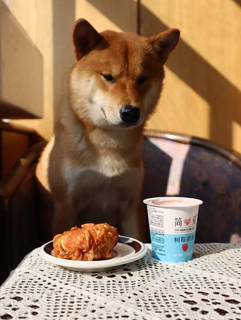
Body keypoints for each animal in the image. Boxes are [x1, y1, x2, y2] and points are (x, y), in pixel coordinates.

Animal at [35, 18, 179, 241]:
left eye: (142, 79)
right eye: (108, 76)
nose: (130, 112)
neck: (109, 143)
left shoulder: (131, 204)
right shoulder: (65, 205)